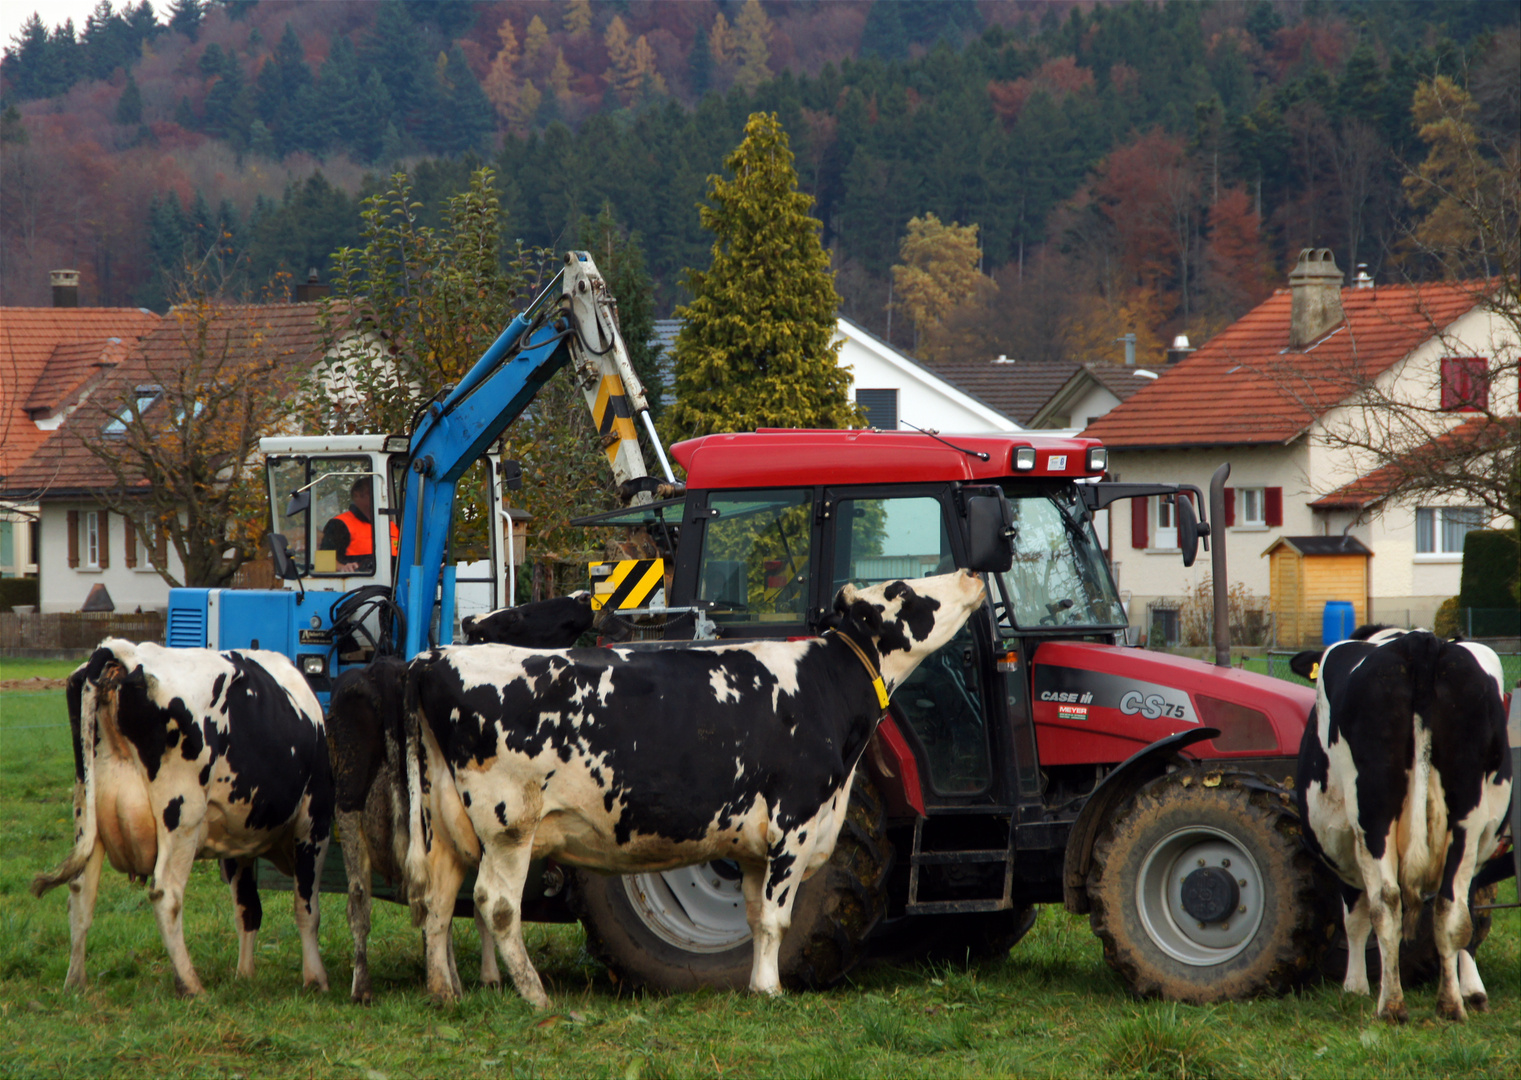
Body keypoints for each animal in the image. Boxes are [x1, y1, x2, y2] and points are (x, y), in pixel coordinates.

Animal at [32, 638, 333, 1003]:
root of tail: (121, 652)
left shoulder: (236, 840)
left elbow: (247, 907)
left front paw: (245, 976)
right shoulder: (314, 822)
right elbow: (307, 907)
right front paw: (315, 979)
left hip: (87, 814)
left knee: (81, 892)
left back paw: (76, 981)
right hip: (181, 815)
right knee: (166, 894)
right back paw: (190, 984)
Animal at [327, 596, 593, 1003]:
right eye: (517, 615)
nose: (582, 600)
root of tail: (383, 671)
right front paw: (489, 977)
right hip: (352, 804)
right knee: (360, 897)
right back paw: (363, 987)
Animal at [404, 574, 985, 1003]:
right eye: (902, 591)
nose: (970, 573)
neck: (823, 687)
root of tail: (434, 656)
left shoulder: (755, 843)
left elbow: (755, 916)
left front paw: (753, 984)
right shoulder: (794, 820)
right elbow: (777, 917)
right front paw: (771, 991)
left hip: (446, 822)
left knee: (438, 899)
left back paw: (444, 991)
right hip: (509, 825)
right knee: (496, 904)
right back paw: (533, 994)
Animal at [1289, 626, 1514, 1022]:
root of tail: (1420, 641)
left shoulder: (1344, 842)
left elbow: (1354, 918)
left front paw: (1354, 987)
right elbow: (1469, 914)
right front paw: (1473, 991)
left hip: (1372, 817)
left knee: (1386, 903)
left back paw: (1390, 1004)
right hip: (1466, 819)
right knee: (1451, 909)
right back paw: (1450, 1005)